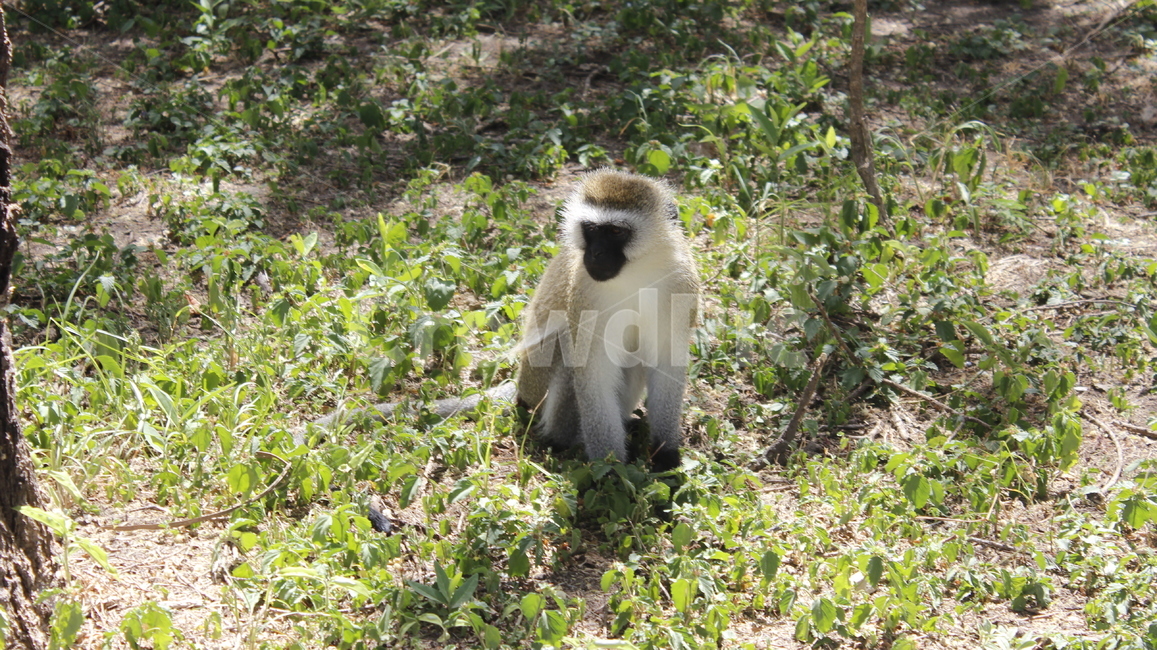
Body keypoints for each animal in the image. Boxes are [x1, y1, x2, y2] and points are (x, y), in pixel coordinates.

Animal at [307, 170, 699, 476]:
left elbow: (667, 364)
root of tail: (521, 388)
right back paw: (561, 443)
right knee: (564, 354)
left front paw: (665, 455)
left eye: (616, 232)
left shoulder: (681, 284)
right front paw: (613, 469)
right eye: (590, 230)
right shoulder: (583, 292)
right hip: (538, 395)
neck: (637, 272)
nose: (596, 254)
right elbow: (591, 371)